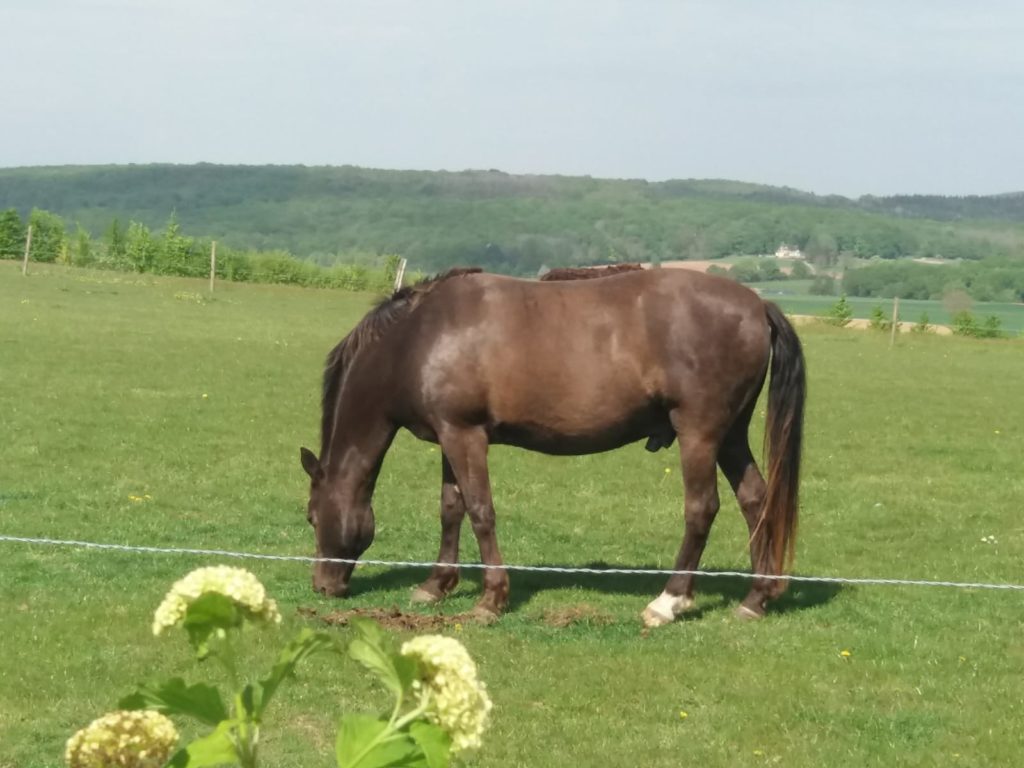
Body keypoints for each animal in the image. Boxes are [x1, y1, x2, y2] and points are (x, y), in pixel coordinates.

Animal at [299, 264, 802, 626]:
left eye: (311, 517)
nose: (323, 586)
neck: (418, 338)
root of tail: (757, 304)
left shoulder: (465, 435)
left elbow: (481, 511)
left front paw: (491, 599)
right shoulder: (449, 436)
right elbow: (451, 509)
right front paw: (436, 584)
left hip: (699, 434)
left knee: (702, 509)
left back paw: (668, 601)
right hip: (730, 435)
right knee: (755, 499)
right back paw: (756, 598)